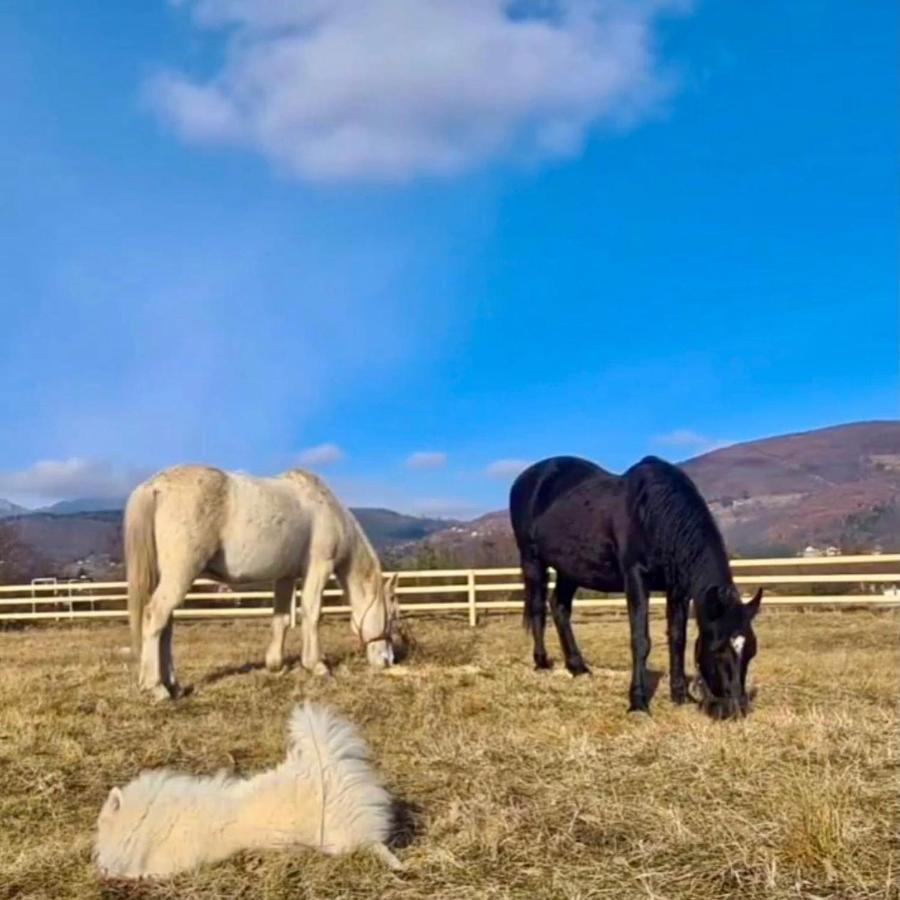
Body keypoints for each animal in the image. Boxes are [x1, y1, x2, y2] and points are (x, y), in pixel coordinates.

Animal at [93, 704, 400, 880]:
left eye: (100, 826)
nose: (96, 861)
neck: (147, 818)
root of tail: (325, 765)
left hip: (341, 836)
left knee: (373, 843)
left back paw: (395, 863)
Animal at [125, 464, 402, 704]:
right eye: (392, 617)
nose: (388, 660)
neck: (326, 508)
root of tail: (156, 485)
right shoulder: (319, 567)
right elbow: (312, 613)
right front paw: (317, 665)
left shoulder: (285, 576)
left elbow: (281, 619)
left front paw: (275, 665)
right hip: (180, 574)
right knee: (154, 617)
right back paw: (156, 687)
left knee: (166, 627)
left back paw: (173, 685)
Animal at [510, 458, 764, 716]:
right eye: (718, 649)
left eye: (751, 651)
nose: (736, 708)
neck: (654, 516)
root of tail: (530, 476)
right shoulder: (636, 577)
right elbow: (641, 640)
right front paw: (638, 702)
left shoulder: (678, 589)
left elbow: (677, 639)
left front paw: (681, 696)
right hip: (532, 559)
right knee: (538, 608)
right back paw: (542, 662)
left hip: (570, 568)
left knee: (559, 607)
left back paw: (578, 667)